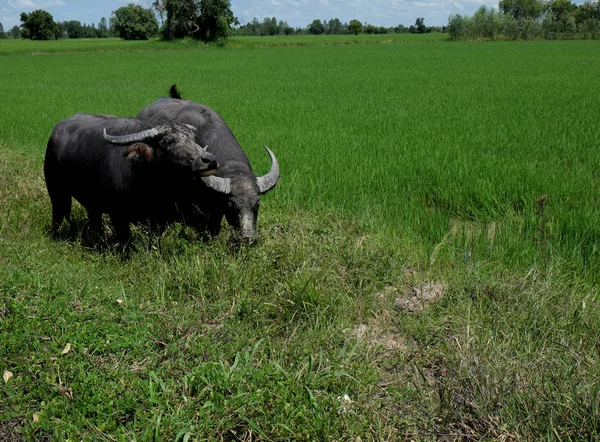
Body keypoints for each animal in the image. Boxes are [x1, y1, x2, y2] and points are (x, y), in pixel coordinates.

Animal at [44, 110, 219, 242]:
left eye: (193, 138)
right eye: (169, 141)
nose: (209, 160)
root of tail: (55, 132)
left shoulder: (160, 215)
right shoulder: (118, 214)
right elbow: (125, 240)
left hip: (91, 202)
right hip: (56, 192)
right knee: (58, 214)